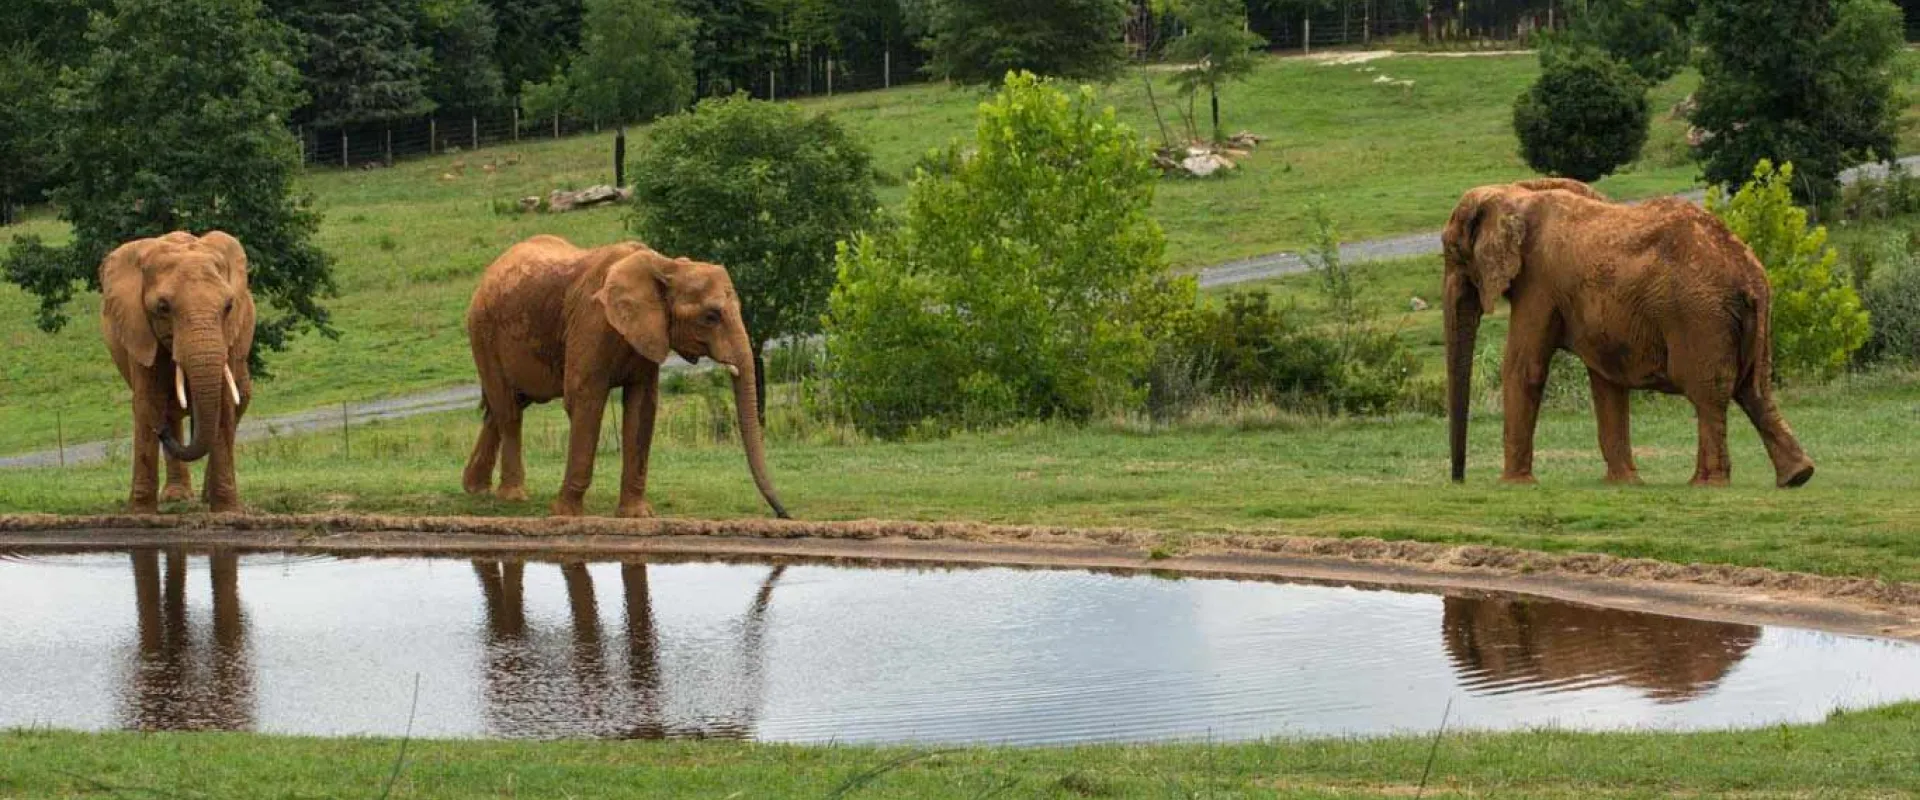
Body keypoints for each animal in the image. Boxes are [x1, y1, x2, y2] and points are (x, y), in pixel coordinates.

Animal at [101, 231, 256, 513]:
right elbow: (148, 402)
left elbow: (225, 403)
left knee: (240, 400)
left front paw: (227, 510)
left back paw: (205, 497)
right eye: (163, 308)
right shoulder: (139, 331)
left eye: (229, 306)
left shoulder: (230, 337)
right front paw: (140, 514)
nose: (161, 433)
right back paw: (177, 497)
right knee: (169, 410)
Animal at [462, 235, 788, 518]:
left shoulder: (646, 334)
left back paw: (475, 489)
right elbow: (585, 399)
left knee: (503, 407)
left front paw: (637, 515)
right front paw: (565, 514)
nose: (783, 514)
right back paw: (513, 496)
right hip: (483, 331)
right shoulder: (591, 322)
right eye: (711, 316)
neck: (667, 265)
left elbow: (642, 406)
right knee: (508, 410)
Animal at [1443, 179, 1816, 487]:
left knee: (1709, 392)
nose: (1459, 480)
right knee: (1754, 389)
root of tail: (1749, 273)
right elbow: (1607, 382)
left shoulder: (1539, 283)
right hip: (1744, 319)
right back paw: (1797, 477)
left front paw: (1513, 485)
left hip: (1699, 316)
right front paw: (1624, 483)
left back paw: (1706, 484)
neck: (1514, 192)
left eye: (1453, 251)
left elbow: (1525, 368)